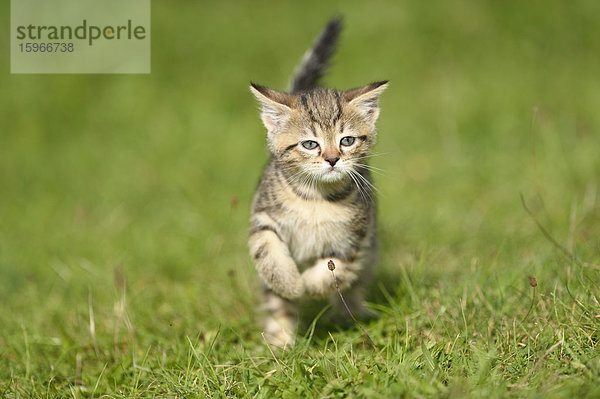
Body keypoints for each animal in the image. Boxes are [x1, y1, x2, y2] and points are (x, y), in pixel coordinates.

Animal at [248, 17, 390, 348]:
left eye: (347, 140)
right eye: (310, 144)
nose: (332, 159)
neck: (315, 198)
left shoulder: (357, 236)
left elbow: (335, 268)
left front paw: (310, 285)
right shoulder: (262, 217)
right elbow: (267, 251)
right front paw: (291, 284)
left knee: (353, 287)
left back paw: (352, 314)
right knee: (275, 303)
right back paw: (281, 343)